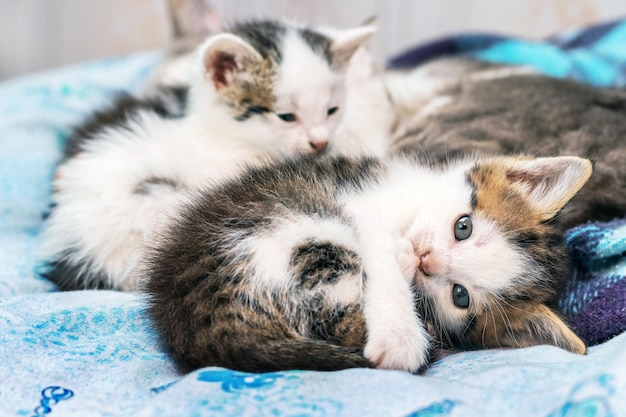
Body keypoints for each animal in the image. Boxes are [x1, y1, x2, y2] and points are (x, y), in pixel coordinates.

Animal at [145, 151, 588, 372]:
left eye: (460, 296)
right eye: (463, 226)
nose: (426, 259)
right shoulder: (362, 208)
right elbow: (383, 261)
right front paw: (400, 338)